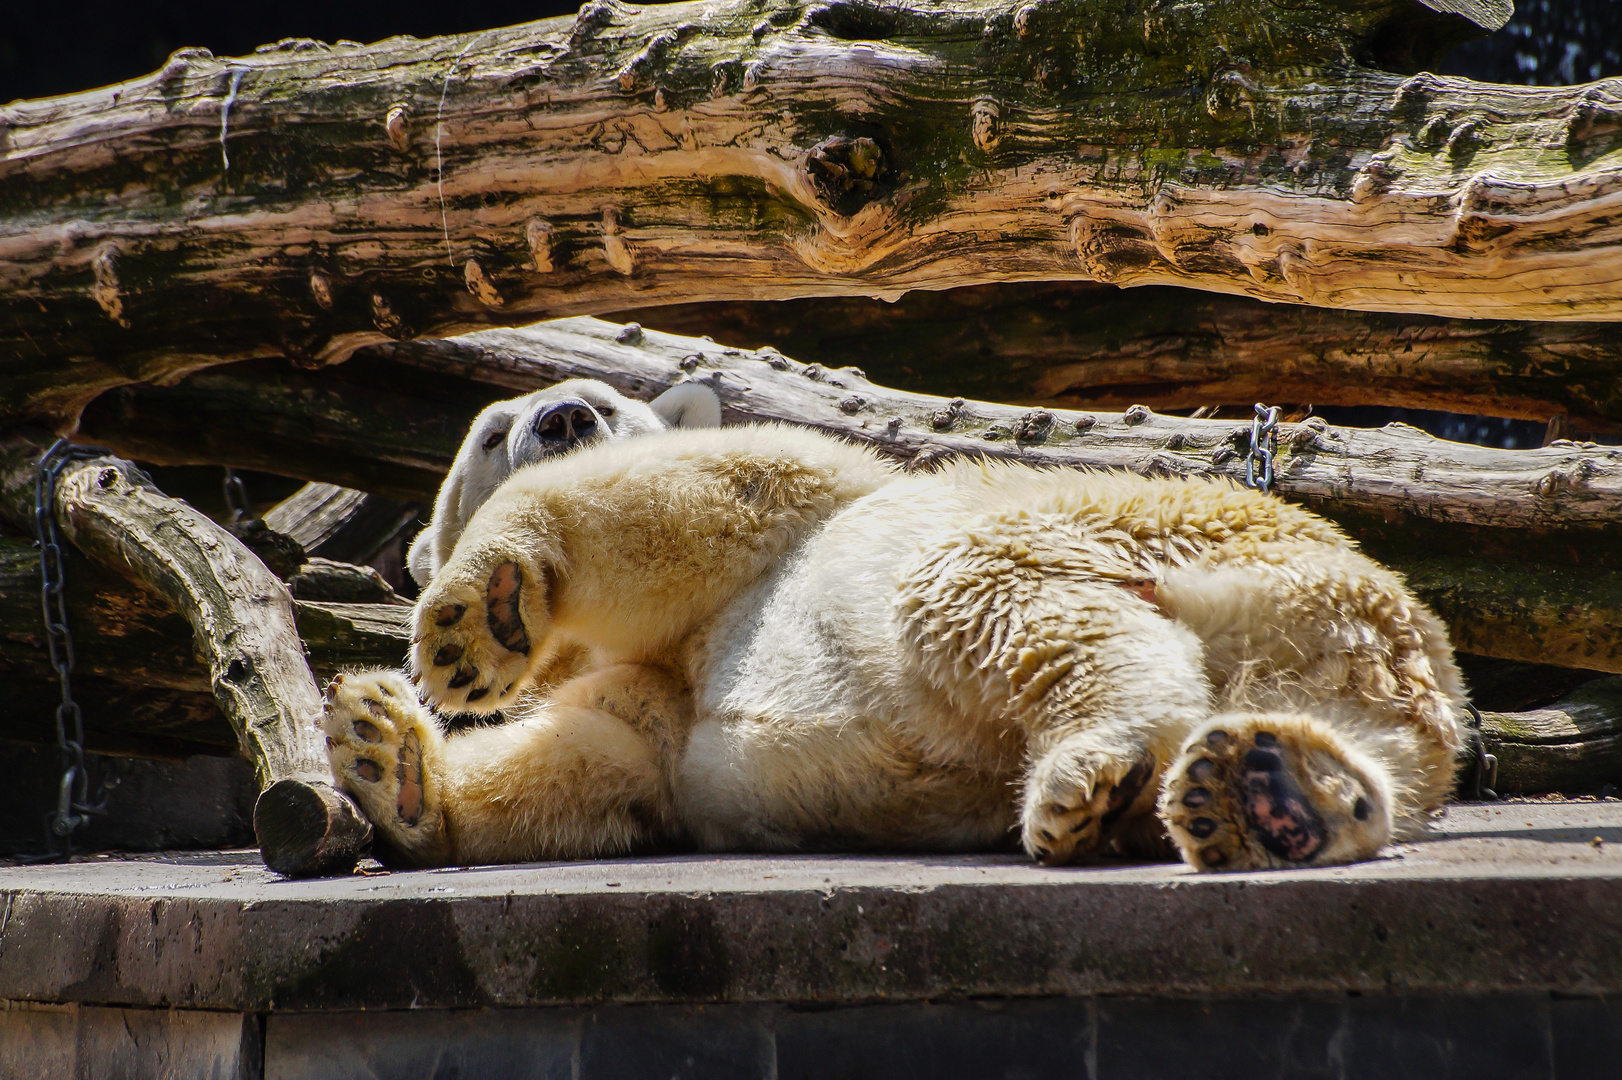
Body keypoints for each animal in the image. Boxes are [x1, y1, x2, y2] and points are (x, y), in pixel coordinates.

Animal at [322, 424, 1466, 869]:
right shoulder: (654, 701)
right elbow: (592, 770)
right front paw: (386, 759)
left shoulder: (811, 510)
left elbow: (686, 497)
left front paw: (475, 619)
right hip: (1342, 657)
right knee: (1361, 747)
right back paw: (1268, 793)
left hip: (1109, 529)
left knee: (992, 604)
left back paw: (1088, 771)